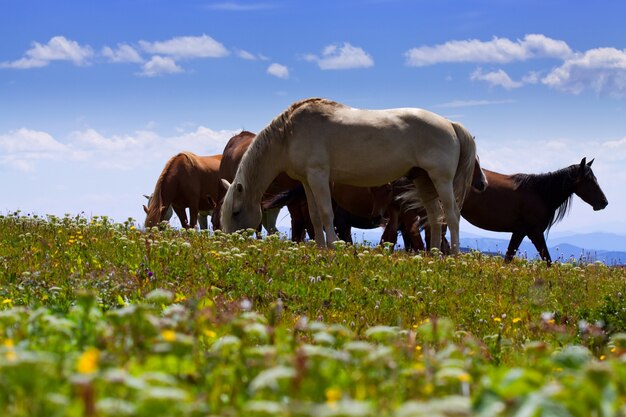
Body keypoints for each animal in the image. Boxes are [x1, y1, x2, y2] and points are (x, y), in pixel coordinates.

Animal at [221, 98, 482, 254]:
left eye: (236, 212)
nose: (229, 244)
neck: (289, 133)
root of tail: (450, 124)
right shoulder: (307, 180)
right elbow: (314, 216)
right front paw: (320, 247)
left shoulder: (318, 175)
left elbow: (326, 213)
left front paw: (332, 246)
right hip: (424, 180)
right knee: (435, 217)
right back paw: (433, 254)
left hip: (441, 180)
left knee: (451, 216)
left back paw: (452, 256)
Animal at [460, 158, 608, 264]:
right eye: (588, 180)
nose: (604, 202)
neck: (540, 193)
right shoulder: (535, 232)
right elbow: (548, 261)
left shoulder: (519, 232)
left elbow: (508, 257)